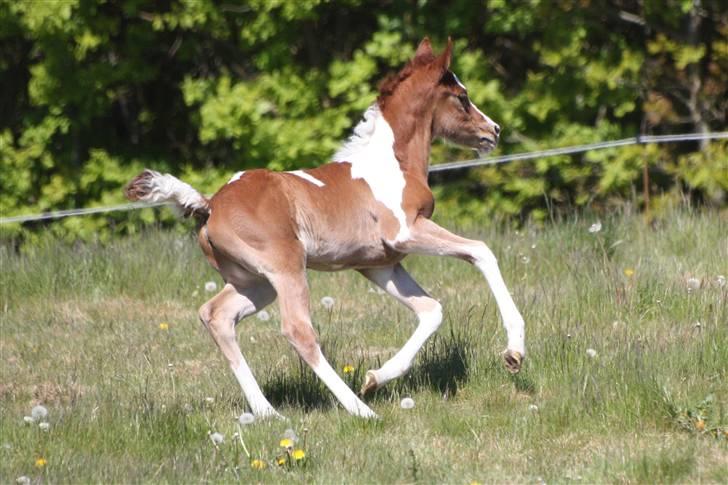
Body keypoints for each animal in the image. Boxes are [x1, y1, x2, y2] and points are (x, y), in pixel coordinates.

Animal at [125, 37, 524, 418]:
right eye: (463, 97)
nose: (493, 130)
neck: (392, 162)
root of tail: (210, 205)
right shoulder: (406, 232)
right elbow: (481, 252)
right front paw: (514, 352)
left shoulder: (380, 265)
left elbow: (431, 310)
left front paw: (376, 377)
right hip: (287, 270)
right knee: (298, 331)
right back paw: (360, 410)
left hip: (254, 283)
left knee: (217, 316)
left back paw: (268, 413)